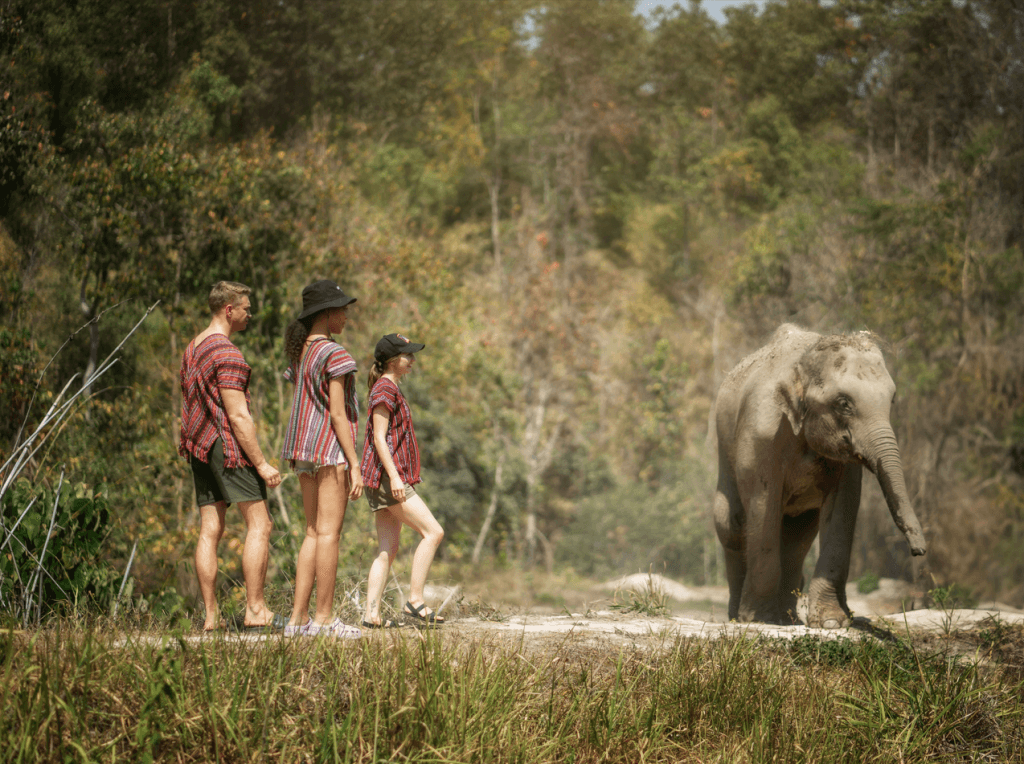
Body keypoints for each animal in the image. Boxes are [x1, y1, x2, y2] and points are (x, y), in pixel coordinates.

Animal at [712, 324, 927, 628]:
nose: (919, 550)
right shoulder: (761, 432)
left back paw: (788, 619)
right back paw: (741, 618)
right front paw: (759, 620)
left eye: (892, 399)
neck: (803, 364)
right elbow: (763, 507)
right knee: (732, 524)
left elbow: (842, 509)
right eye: (843, 403)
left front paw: (832, 622)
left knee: (797, 535)